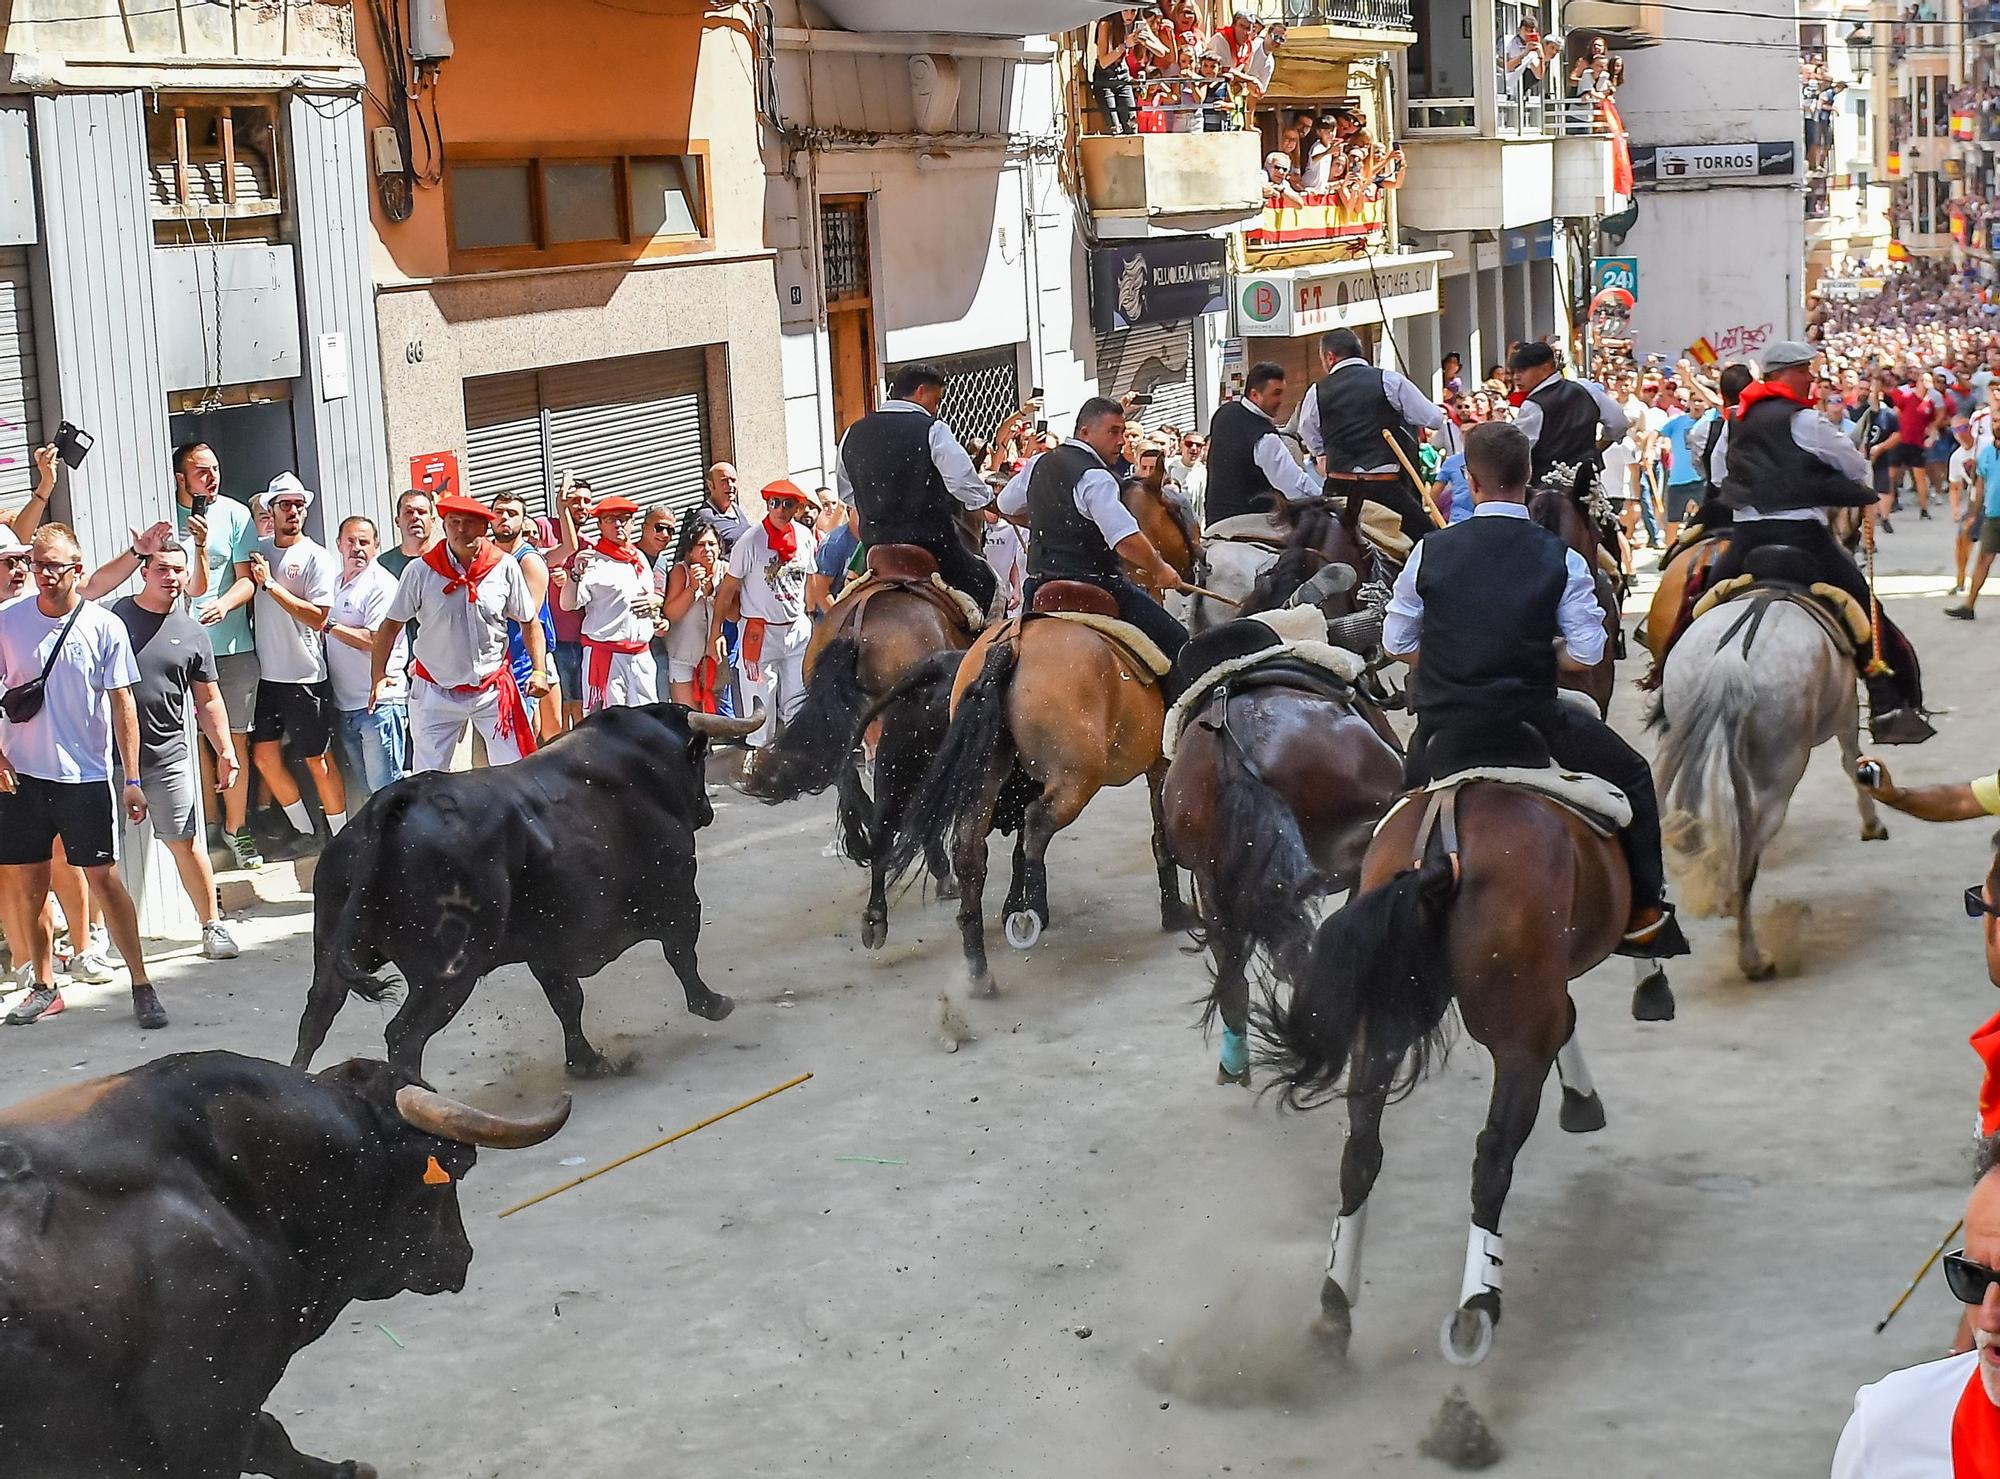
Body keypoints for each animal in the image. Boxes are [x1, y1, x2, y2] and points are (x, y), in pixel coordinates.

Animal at [292, 703, 760, 1071]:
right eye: (701, 760)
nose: (707, 811)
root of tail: (392, 805)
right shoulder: (680, 896)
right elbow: (682, 956)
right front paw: (714, 1004)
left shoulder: (548, 945)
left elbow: (567, 999)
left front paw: (586, 1061)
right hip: (447, 974)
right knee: (404, 1036)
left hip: (330, 951)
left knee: (315, 1018)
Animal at [888, 607, 1192, 999]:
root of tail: (1011, 643)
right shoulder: (1160, 766)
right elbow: (1161, 832)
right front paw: (1174, 911)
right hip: (1076, 780)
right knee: (1036, 823)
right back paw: (1026, 911)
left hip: (988, 775)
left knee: (971, 850)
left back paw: (979, 967)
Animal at [1264, 779, 1672, 1367]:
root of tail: (1440, 855)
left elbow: (1567, 1015)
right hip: (1516, 1036)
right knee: (1493, 1157)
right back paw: (1476, 1305)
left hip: (1383, 1027)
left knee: (1360, 1150)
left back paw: (1335, 1309)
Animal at [1648, 587, 1880, 983]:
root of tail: (1733, 653)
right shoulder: (1847, 711)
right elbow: (1853, 762)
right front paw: (1872, 823)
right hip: (1777, 778)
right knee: (1746, 860)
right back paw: (1754, 959)